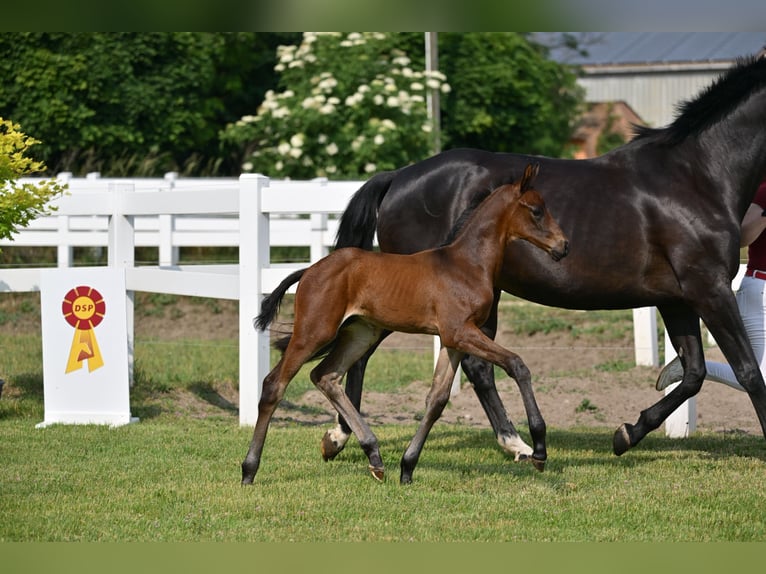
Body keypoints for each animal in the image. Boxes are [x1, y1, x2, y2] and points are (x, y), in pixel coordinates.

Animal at [241, 163, 569, 484]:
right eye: (536, 210)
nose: (563, 246)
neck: (466, 264)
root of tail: (309, 270)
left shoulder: (453, 340)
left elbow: (437, 399)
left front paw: (407, 466)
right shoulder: (460, 332)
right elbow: (517, 364)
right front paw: (539, 450)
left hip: (360, 333)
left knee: (326, 376)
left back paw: (374, 456)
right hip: (314, 331)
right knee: (274, 384)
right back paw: (249, 470)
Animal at [319, 54, 766, 464]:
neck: (696, 177)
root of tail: (398, 177)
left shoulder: (677, 298)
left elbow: (693, 373)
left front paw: (625, 434)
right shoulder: (709, 289)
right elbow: (748, 372)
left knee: (469, 367)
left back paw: (509, 443)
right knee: (370, 356)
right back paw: (345, 437)